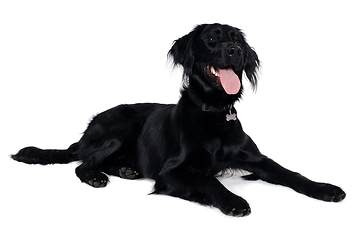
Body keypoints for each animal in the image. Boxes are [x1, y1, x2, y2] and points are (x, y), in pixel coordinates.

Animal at [11, 23, 346, 217]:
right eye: (211, 39)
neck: (214, 113)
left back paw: (125, 169)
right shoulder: (172, 173)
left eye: (237, 41)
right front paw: (234, 201)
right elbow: (209, 180)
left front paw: (325, 188)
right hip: (121, 125)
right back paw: (97, 176)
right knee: (82, 163)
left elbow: (290, 173)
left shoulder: (256, 158)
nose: (235, 50)